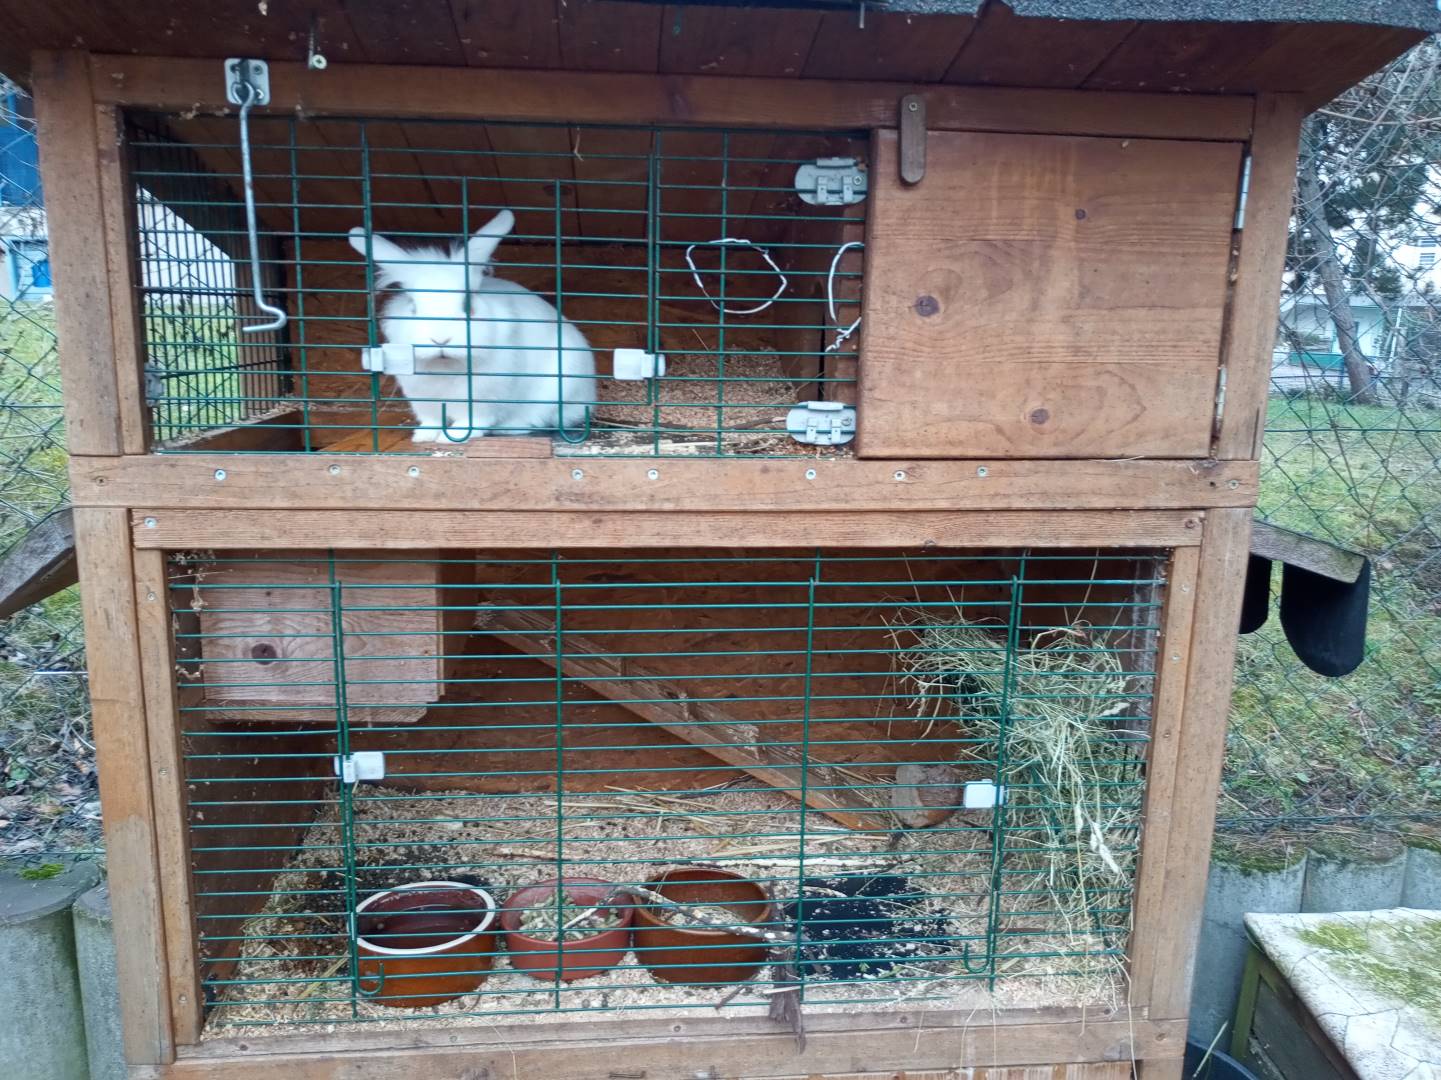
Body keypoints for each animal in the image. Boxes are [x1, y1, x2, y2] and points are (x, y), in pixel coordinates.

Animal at [348, 209, 595, 442]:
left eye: (468, 306)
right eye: (413, 307)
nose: (440, 339)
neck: (446, 367)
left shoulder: (484, 399)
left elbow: (472, 422)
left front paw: (453, 438)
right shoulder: (424, 401)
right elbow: (432, 421)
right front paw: (423, 436)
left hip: (559, 389)